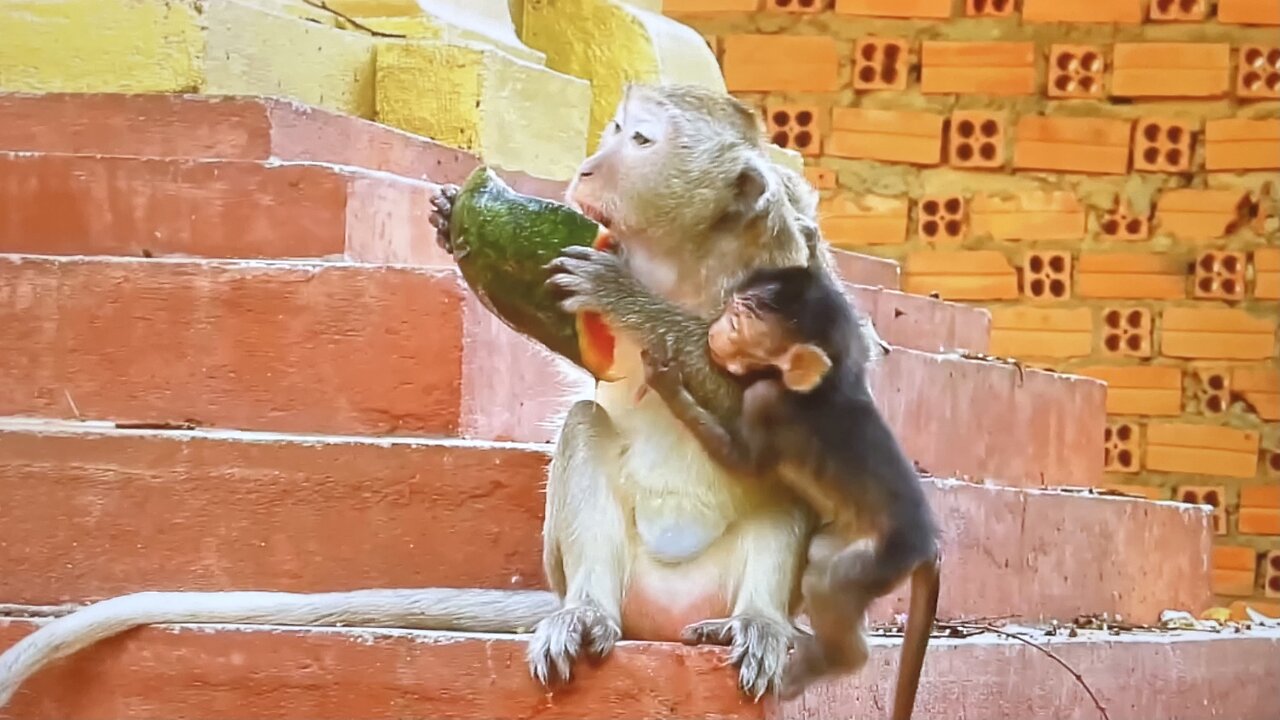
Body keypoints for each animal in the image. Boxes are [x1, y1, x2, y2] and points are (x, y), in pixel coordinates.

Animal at [0, 82, 880, 702]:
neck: (686, 259)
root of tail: (654, 619)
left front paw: (627, 298)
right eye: (610, 131)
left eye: (637, 139)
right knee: (586, 427)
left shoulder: (793, 268)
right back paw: (586, 614)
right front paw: (454, 219)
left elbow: (827, 396)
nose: (589, 166)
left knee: (791, 473)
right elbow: (592, 376)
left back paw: (756, 623)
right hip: (606, 574)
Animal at [650, 265, 942, 717]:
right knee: (820, 557)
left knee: (829, 582)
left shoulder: (766, 402)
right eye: (733, 308)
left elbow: (744, 463)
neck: (825, 383)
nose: (717, 328)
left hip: (881, 557)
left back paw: (839, 658)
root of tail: (928, 543)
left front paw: (669, 387)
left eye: (740, 320)